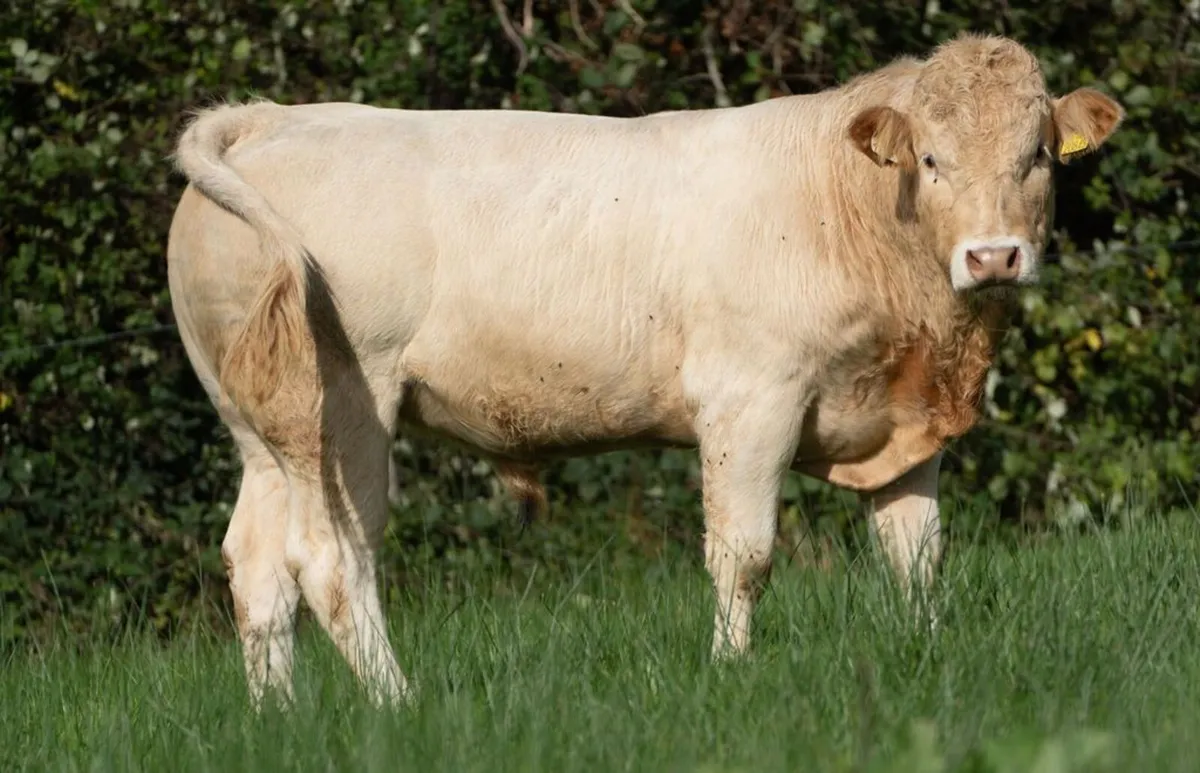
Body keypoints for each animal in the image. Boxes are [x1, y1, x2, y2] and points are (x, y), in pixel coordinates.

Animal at [165, 32, 1123, 707]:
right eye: (930, 159)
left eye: (1038, 157)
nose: (993, 256)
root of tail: (269, 119)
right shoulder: (751, 398)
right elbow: (744, 553)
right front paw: (731, 672)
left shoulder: (902, 421)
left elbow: (917, 553)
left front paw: (925, 653)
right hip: (348, 409)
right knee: (331, 558)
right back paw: (398, 702)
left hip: (259, 427)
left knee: (256, 565)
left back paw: (279, 719)